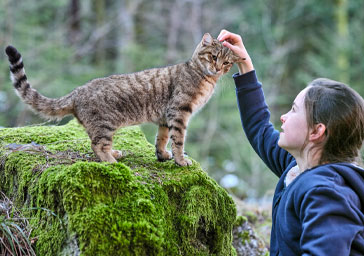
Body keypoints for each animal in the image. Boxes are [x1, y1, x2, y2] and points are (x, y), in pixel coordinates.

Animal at [4, 33, 242, 166]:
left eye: (227, 63)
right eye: (213, 56)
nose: (218, 68)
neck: (203, 78)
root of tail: (77, 91)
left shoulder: (166, 118)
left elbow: (162, 139)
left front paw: (163, 155)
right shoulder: (179, 112)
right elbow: (178, 141)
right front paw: (181, 160)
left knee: (97, 144)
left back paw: (115, 154)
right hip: (105, 124)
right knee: (97, 145)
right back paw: (112, 162)